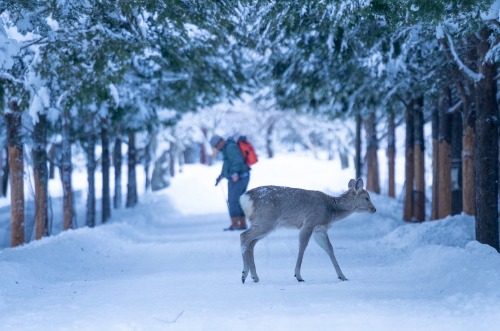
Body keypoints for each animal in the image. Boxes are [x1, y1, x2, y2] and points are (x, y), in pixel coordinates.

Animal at [238, 180, 376, 284]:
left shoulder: (320, 230)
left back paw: (254, 276)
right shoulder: (309, 223)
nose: (374, 209)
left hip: (264, 224)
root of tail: (245, 198)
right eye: (366, 197)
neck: (330, 211)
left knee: (251, 243)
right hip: (266, 220)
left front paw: (342, 276)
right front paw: (298, 276)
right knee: (243, 236)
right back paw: (244, 274)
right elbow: (302, 246)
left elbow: (329, 249)